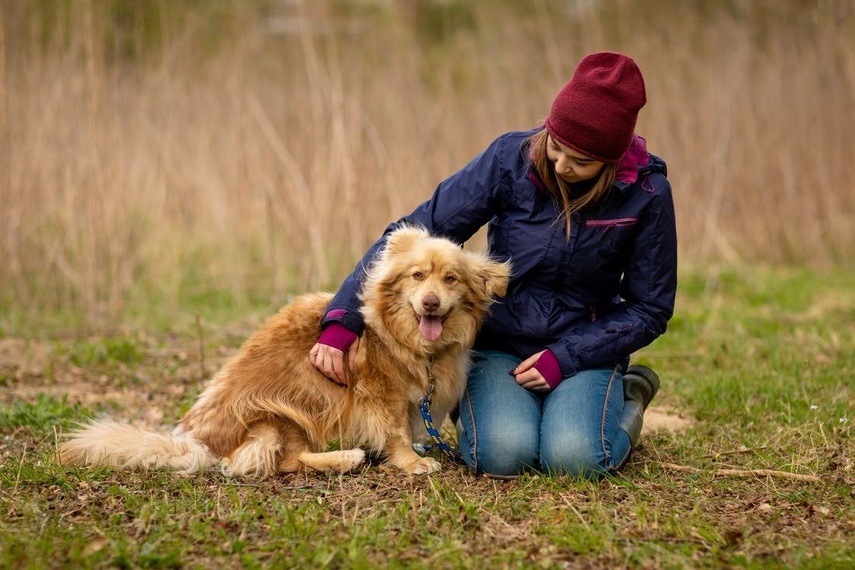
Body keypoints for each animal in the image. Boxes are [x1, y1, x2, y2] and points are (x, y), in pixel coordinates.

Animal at [61, 225, 516, 474]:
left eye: (451, 279)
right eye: (418, 276)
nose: (431, 303)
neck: (409, 339)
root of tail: (199, 441)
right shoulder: (380, 394)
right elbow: (396, 430)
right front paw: (411, 461)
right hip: (285, 413)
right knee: (281, 462)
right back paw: (347, 458)